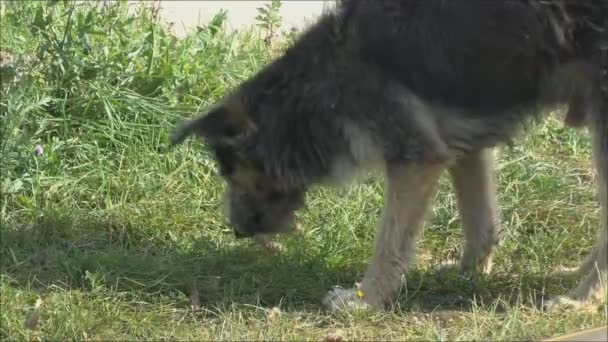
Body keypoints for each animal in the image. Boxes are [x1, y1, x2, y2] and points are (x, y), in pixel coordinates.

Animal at [171, 0, 608, 312]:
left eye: (230, 172)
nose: (237, 232)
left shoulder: (414, 159)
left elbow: (389, 242)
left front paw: (364, 300)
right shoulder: (462, 145)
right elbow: (478, 219)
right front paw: (467, 272)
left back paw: (581, 298)